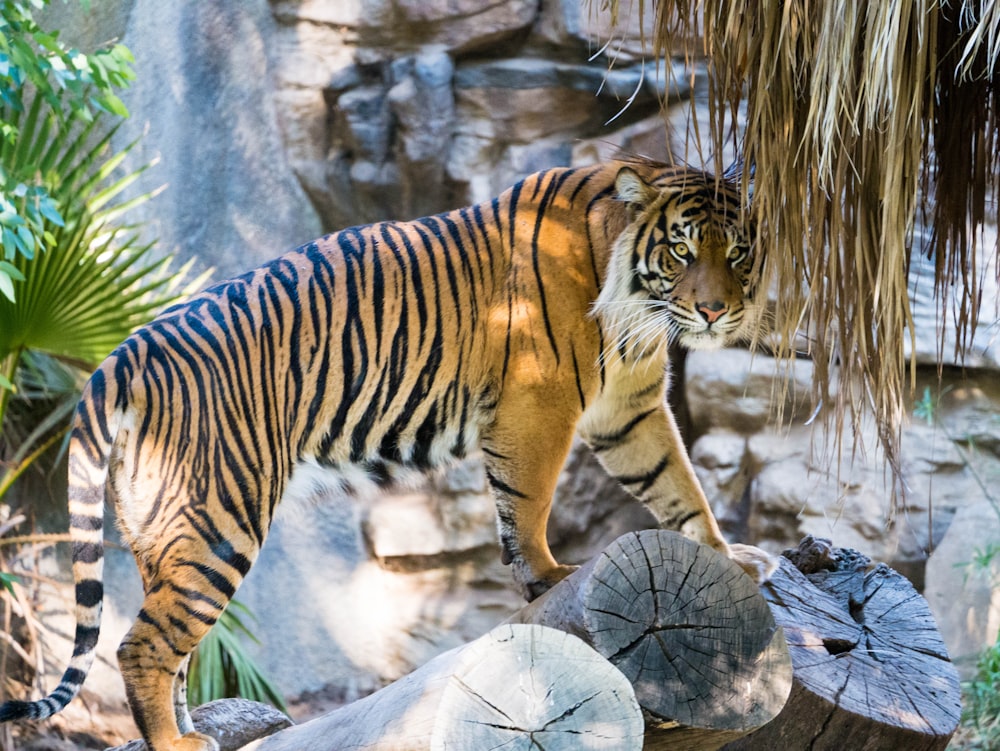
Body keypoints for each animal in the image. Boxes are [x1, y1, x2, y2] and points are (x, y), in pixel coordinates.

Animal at [0, 157, 772, 748]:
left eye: (736, 252)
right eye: (681, 250)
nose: (715, 311)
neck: (635, 308)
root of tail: (120, 355)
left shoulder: (629, 411)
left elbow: (679, 484)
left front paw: (728, 557)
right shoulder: (538, 401)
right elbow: (526, 502)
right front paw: (549, 575)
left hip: (159, 526)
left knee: (176, 645)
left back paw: (194, 730)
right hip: (218, 517)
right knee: (143, 643)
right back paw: (177, 742)